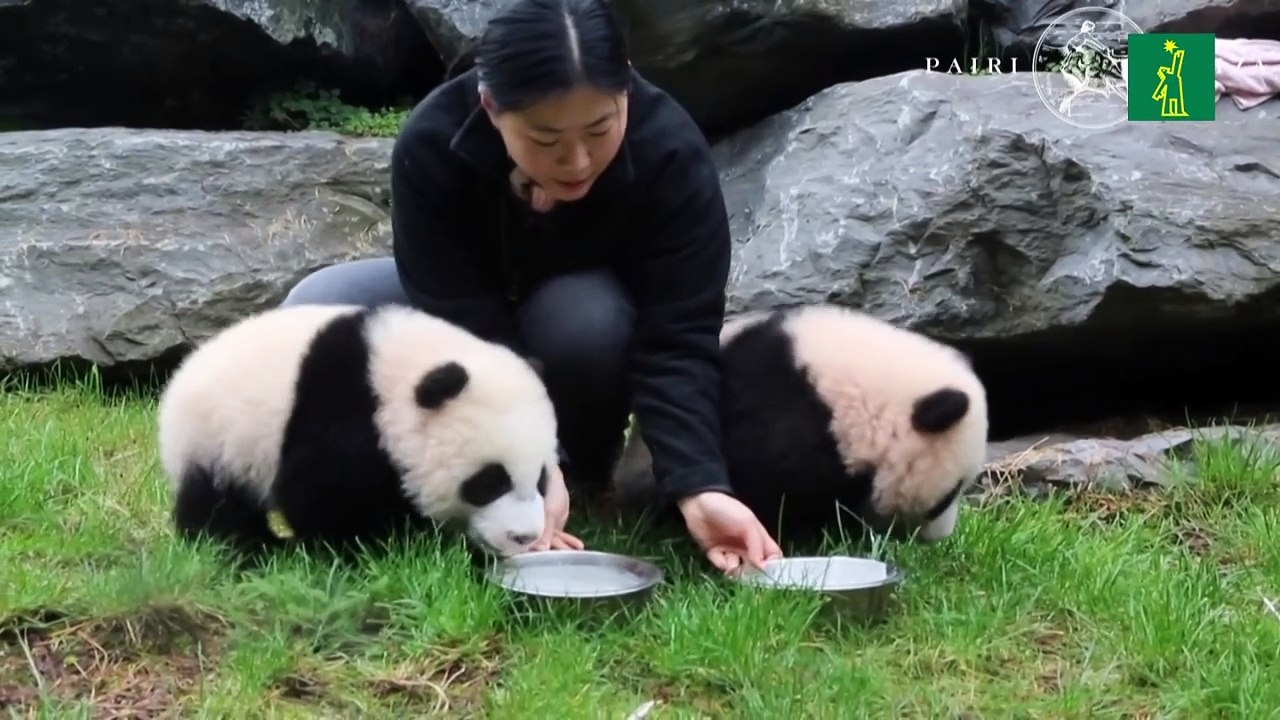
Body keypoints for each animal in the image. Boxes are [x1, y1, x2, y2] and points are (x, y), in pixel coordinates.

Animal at [156, 302, 560, 560]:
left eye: (541, 479)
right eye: (490, 481)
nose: (524, 536)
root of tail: (180, 377)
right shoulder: (341, 408)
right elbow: (321, 493)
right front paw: (386, 544)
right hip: (217, 439)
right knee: (217, 503)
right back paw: (248, 547)